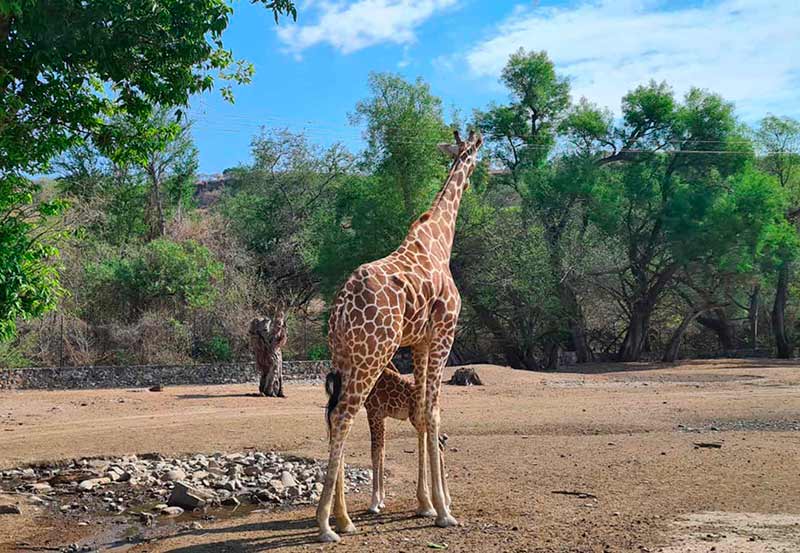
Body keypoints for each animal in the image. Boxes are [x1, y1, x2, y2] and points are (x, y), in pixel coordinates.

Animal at [362, 362, 450, 512]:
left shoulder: (373, 412)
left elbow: (375, 452)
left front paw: (374, 503)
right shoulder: (381, 416)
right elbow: (382, 451)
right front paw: (381, 501)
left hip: (417, 419)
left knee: (436, 447)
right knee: (440, 446)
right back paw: (445, 502)